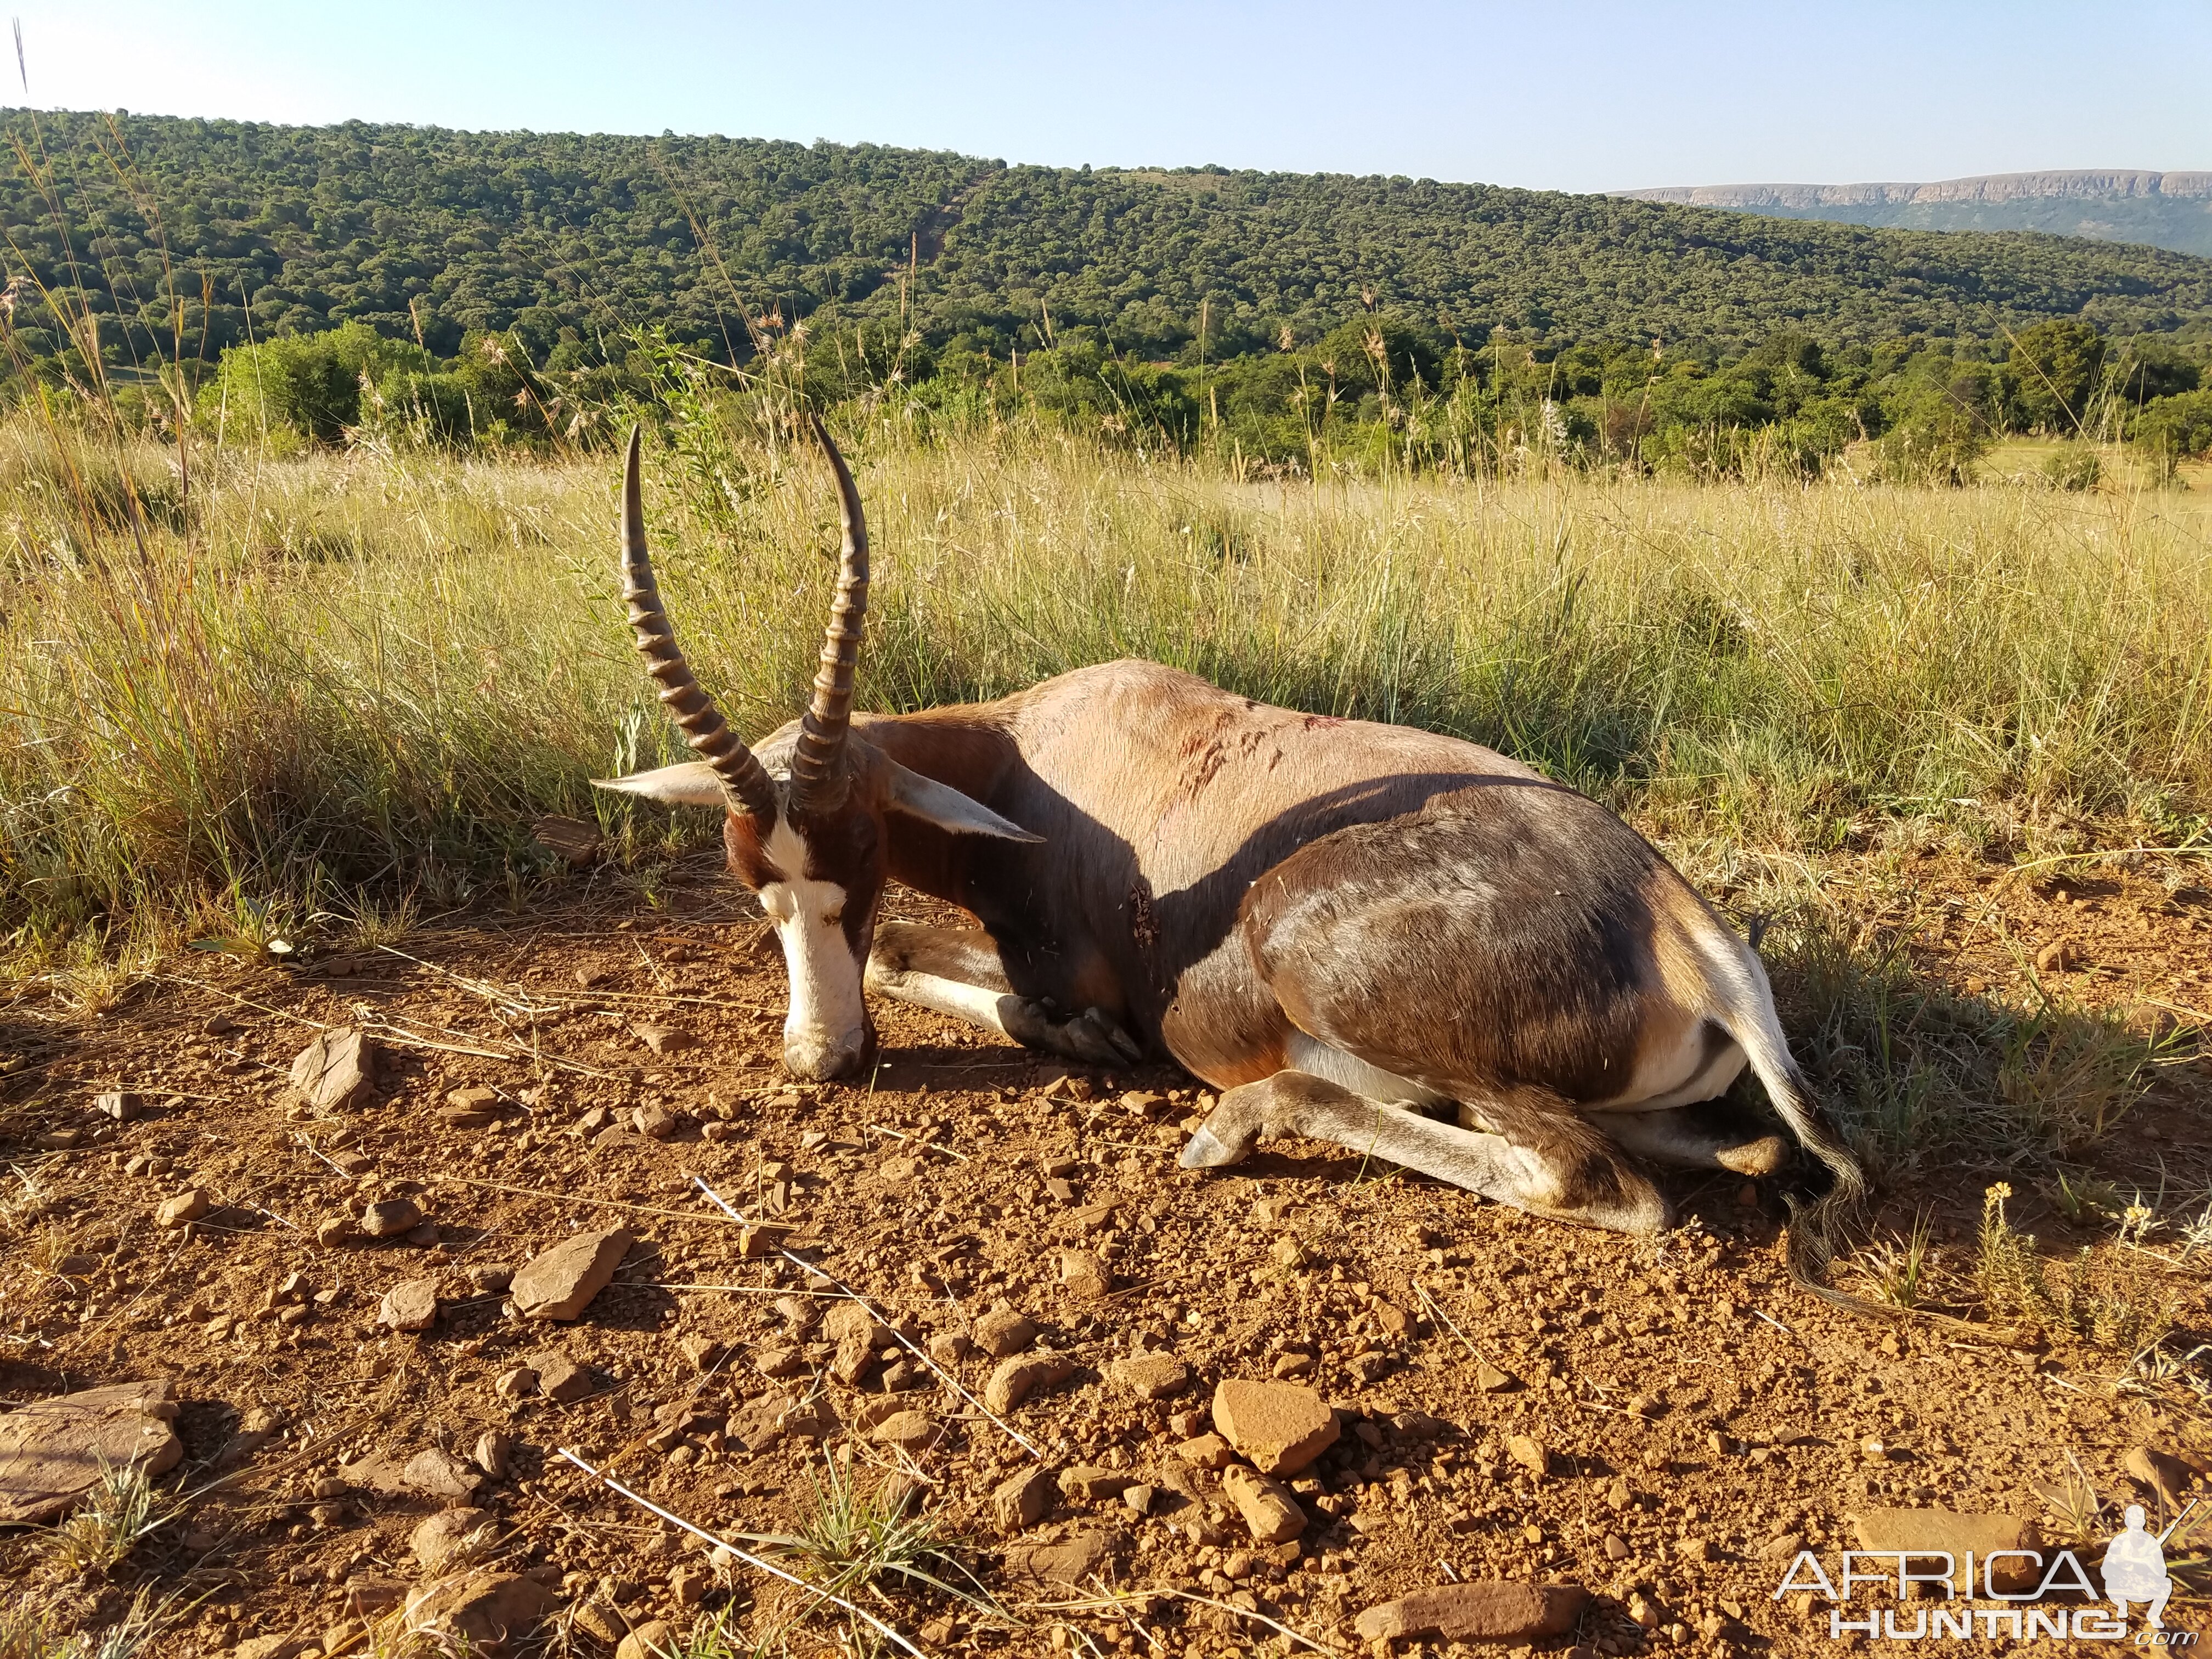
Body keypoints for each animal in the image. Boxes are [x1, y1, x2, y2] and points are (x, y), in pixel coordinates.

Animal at [601, 422, 1867, 1238]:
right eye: (753, 876)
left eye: (861, 858)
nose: (823, 1061)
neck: (1040, 748)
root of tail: (1677, 919)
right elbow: (903, 953)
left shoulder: (1065, 970)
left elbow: (937, 969)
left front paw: (1080, 1043)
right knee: (1742, 1146)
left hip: (1322, 966)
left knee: (1594, 1184)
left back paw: (1236, 1125)